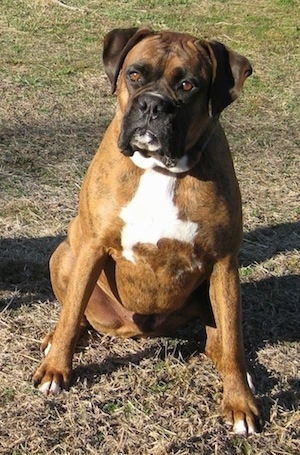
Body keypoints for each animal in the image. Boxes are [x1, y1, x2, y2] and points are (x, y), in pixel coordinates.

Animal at [33, 27, 260, 434]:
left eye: (188, 84)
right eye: (135, 75)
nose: (153, 105)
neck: (158, 169)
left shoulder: (224, 263)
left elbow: (234, 341)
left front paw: (240, 403)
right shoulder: (92, 247)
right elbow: (72, 312)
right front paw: (56, 370)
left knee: (218, 341)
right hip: (65, 254)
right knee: (77, 315)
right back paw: (55, 338)